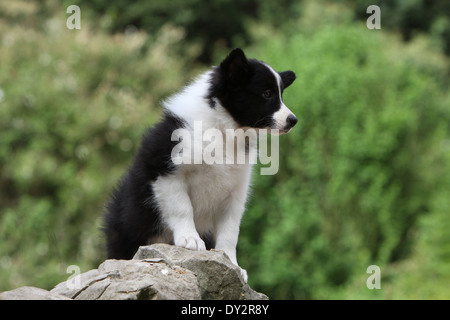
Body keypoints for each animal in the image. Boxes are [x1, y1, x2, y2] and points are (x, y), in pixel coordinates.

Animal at [103, 48, 298, 282]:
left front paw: (232, 264)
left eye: (281, 94)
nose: (293, 120)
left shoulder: (235, 190)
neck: (223, 128)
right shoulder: (166, 173)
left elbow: (230, 231)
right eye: (267, 94)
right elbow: (182, 207)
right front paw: (190, 240)